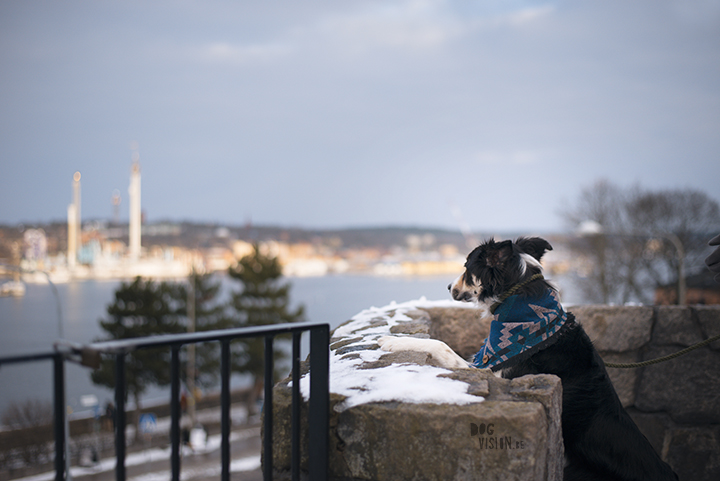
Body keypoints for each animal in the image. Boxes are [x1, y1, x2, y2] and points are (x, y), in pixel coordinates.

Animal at [380, 237, 676, 480]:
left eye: (467, 266)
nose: (448, 285)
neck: (524, 307)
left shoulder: (492, 371)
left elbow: (440, 345)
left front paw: (392, 340)